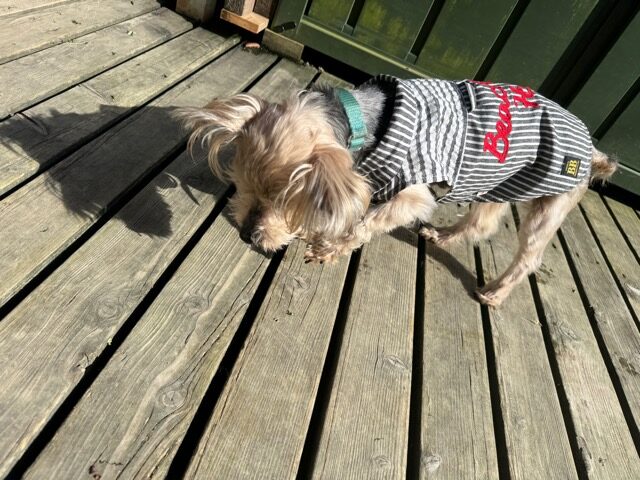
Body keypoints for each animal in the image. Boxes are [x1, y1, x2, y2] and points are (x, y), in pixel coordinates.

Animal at [179, 75, 617, 306]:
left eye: (282, 201)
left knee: (529, 256)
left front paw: (326, 248)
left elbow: (364, 223)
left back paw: (494, 293)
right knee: (481, 223)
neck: (362, 124)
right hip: (492, 182)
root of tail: (593, 150)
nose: (246, 233)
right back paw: (442, 235)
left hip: (548, 203)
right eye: (241, 186)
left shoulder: (413, 194)